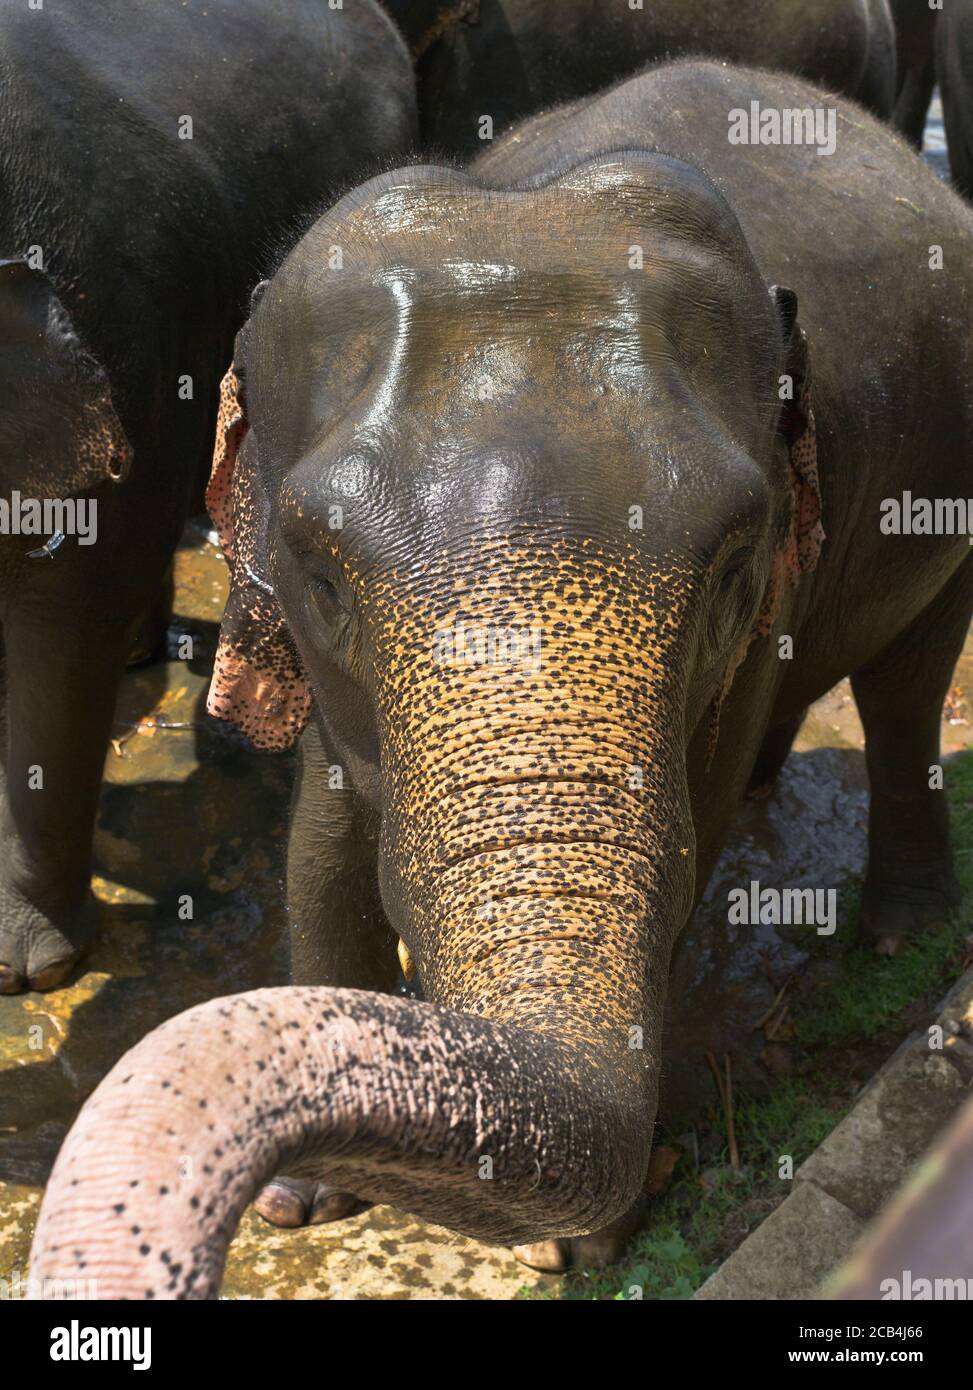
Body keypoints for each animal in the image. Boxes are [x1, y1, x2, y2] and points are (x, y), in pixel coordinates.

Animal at [30, 54, 973, 1289]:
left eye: (729, 566)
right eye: (320, 575)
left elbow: (683, 857)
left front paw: (571, 1247)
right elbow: (321, 839)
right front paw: (300, 1202)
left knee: (908, 685)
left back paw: (900, 931)